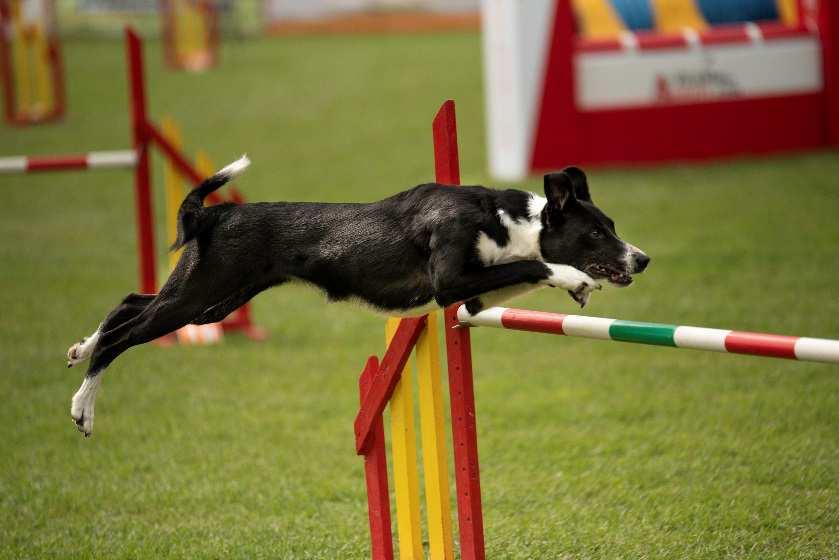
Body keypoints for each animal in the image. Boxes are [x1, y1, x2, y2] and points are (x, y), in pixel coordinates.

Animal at [67, 158, 648, 438]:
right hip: (196, 299)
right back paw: (82, 407)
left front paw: (573, 282)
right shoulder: (449, 283)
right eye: (596, 233)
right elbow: (532, 262)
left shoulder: (473, 301)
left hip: (213, 300)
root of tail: (214, 214)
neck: (505, 221)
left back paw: (79, 347)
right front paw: (573, 276)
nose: (642, 259)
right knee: (124, 334)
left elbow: (519, 271)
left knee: (128, 302)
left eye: (615, 226)